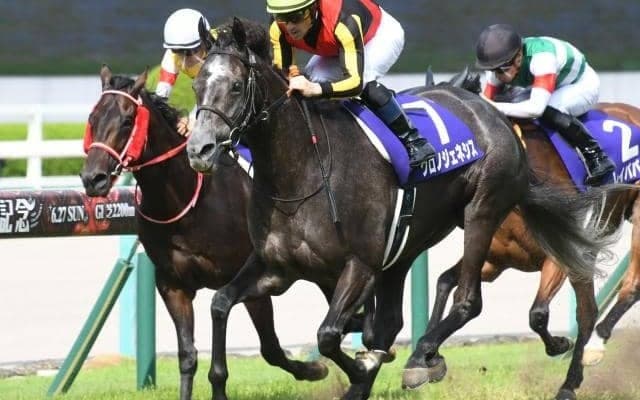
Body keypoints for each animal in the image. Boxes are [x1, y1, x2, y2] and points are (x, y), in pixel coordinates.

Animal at [79, 65, 335, 400]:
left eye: (127, 120)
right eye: (92, 118)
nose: (92, 178)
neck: (186, 199)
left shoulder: (248, 278)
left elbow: (270, 348)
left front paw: (316, 369)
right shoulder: (172, 284)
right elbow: (188, 356)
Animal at [185, 18, 619, 400]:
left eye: (236, 86)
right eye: (197, 85)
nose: (199, 149)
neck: (301, 171)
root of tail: (488, 110)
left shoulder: (358, 264)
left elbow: (329, 335)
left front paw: (364, 365)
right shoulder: (277, 268)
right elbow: (221, 304)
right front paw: (220, 383)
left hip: (481, 212)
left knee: (469, 300)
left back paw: (423, 356)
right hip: (407, 245)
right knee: (394, 319)